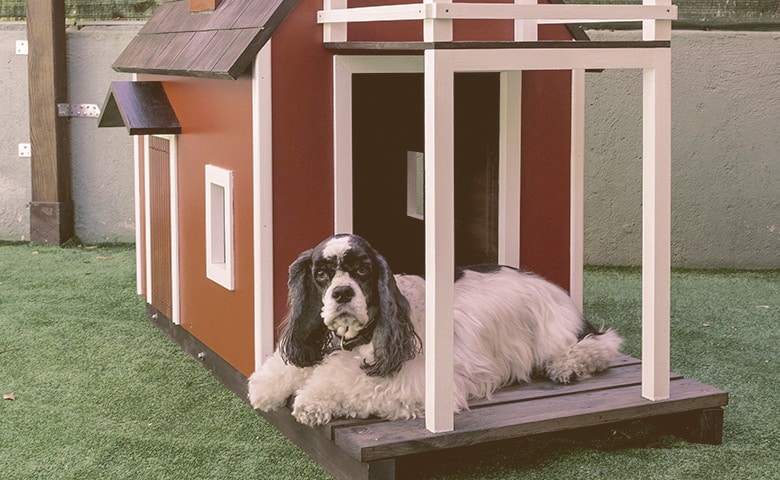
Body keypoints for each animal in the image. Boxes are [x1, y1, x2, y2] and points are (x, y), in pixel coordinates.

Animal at [248, 234, 620, 426]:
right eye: (321, 274)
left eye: (363, 270)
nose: (342, 293)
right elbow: (291, 366)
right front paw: (265, 387)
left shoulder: (417, 385)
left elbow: (348, 384)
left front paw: (312, 401)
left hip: (554, 331)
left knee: (603, 344)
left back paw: (566, 366)